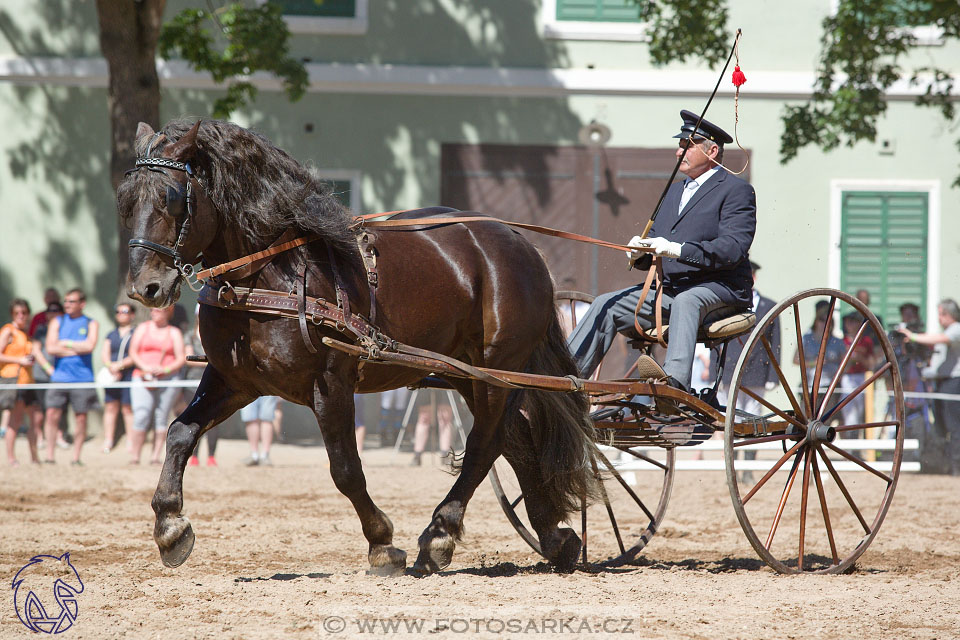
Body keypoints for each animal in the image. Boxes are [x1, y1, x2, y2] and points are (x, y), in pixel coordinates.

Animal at [118, 119, 600, 576]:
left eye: (171, 197)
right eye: (126, 199)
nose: (146, 288)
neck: (269, 275)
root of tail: (520, 244)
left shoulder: (331, 383)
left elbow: (346, 469)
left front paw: (382, 543)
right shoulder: (235, 381)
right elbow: (180, 432)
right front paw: (169, 526)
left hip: (498, 370)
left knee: (486, 443)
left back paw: (440, 534)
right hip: (465, 371)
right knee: (515, 439)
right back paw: (552, 536)